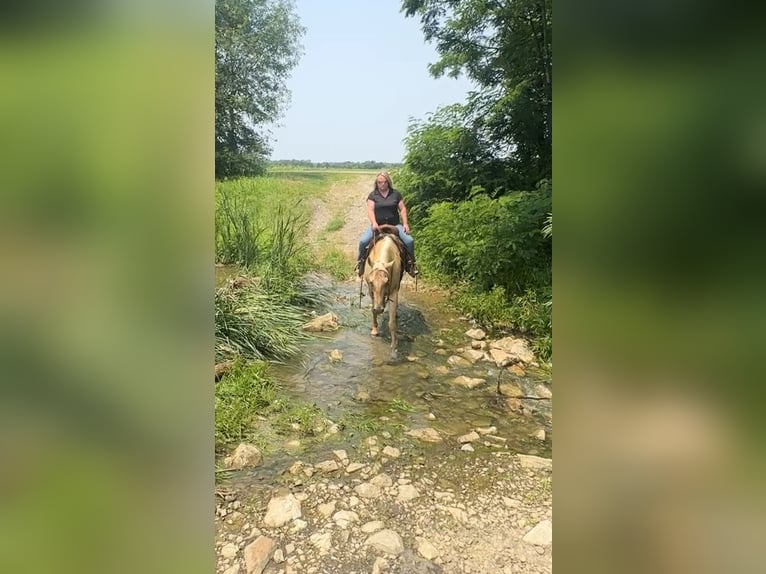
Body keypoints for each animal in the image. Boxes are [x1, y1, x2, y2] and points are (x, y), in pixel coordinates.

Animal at [363, 225, 403, 357]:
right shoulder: (371, 291)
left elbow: (392, 323)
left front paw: (394, 346)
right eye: (371, 282)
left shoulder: (393, 292)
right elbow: (373, 311)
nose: (379, 309)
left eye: (386, 282)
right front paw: (374, 330)